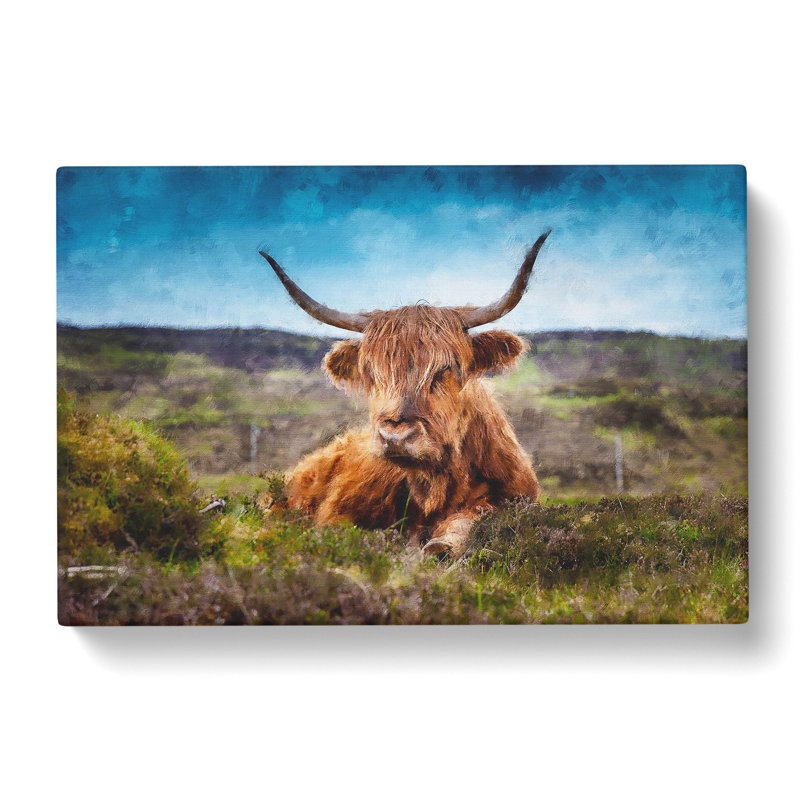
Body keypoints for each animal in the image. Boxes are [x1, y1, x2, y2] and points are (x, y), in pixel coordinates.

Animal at [259, 230, 551, 557]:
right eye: (371, 372)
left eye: (446, 368)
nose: (395, 436)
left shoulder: (514, 498)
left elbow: (469, 520)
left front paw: (441, 544)